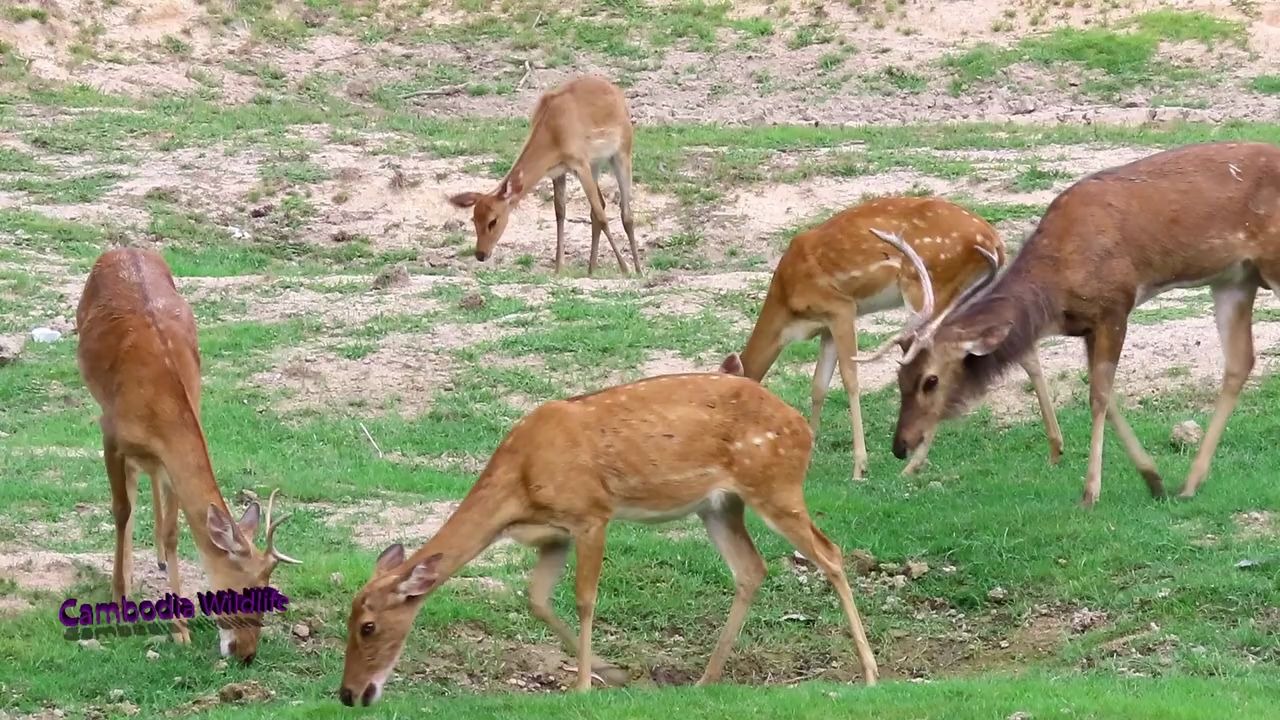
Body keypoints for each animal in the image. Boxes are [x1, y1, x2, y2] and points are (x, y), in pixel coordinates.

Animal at [76, 243, 300, 661]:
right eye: (246, 592)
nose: (246, 653)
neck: (159, 400)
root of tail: (123, 246)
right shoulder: (109, 432)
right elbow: (120, 510)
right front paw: (119, 602)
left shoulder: (171, 452)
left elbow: (172, 532)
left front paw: (179, 629)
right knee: (130, 490)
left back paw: (158, 563)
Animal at [337, 351, 880, 702]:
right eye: (351, 618)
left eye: (368, 626)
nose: (348, 694)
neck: (521, 485)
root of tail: (801, 427)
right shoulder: (552, 535)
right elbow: (536, 599)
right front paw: (614, 675)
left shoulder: (590, 513)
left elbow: (584, 598)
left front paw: (581, 686)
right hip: (720, 505)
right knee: (751, 569)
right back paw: (705, 680)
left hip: (774, 484)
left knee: (829, 553)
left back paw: (871, 672)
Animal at [448, 74, 645, 272]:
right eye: (474, 219)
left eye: (493, 221)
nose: (480, 254)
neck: (553, 131)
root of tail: (616, 92)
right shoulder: (559, 171)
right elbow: (560, 212)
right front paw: (558, 268)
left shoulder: (580, 164)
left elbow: (602, 217)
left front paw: (625, 268)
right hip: (595, 164)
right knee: (599, 207)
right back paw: (591, 269)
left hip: (621, 154)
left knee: (625, 213)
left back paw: (637, 269)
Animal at [737, 193, 1064, 479]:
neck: (787, 305)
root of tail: (995, 241)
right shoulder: (827, 326)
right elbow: (818, 385)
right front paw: (808, 458)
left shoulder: (841, 307)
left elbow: (850, 379)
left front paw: (860, 468)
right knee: (1020, 347)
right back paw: (1056, 448)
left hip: (928, 286)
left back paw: (911, 466)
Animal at [875, 141, 1280, 504]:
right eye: (900, 377)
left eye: (931, 380)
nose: (900, 445)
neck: (1054, 292)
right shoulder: (1088, 325)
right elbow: (1107, 395)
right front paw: (1154, 480)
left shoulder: (1115, 305)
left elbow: (1098, 396)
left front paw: (1091, 492)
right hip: (1234, 279)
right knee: (1240, 362)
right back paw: (1190, 483)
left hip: (1268, 266)